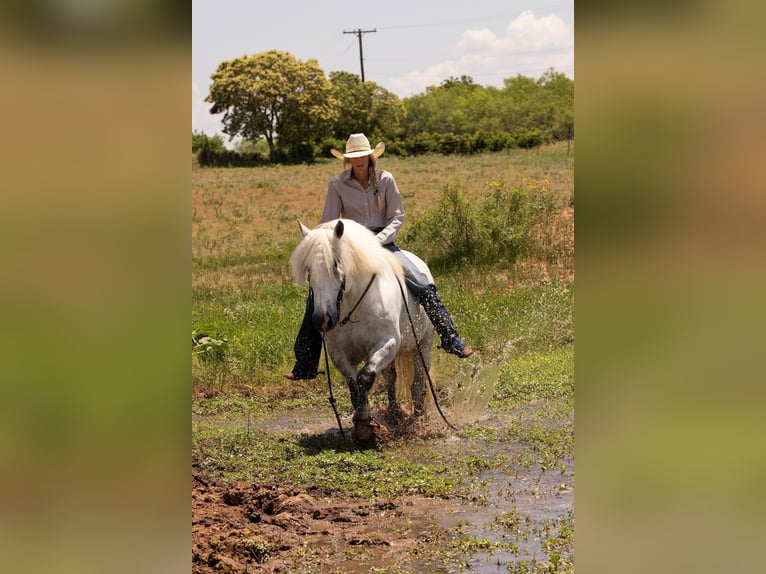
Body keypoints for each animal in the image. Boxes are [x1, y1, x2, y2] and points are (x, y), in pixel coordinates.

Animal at [292, 218, 436, 448]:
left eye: (336, 264)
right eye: (308, 269)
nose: (322, 319)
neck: (354, 307)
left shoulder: (387, 342)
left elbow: (365, 377)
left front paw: (363, 426)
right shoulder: (338, 354)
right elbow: (354, 384)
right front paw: (364, 423)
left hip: (423, 346)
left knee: (419, 384)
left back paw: (416, 420)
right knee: (391, 379)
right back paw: (394, 414)